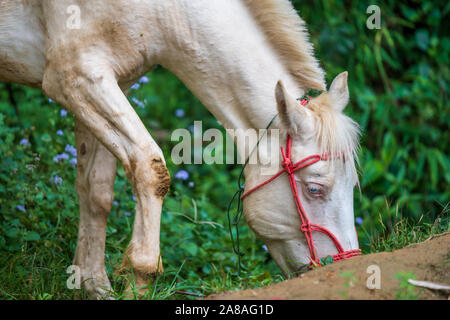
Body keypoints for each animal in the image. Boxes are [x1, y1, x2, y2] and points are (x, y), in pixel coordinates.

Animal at [0, 0, 358, 300]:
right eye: (314, 189)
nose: (345, 266)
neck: (163, 11)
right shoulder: (76, 78)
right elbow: (150, 168)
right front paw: (140, 278)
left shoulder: (103, 85)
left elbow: (96, 192)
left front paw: (93, 284)